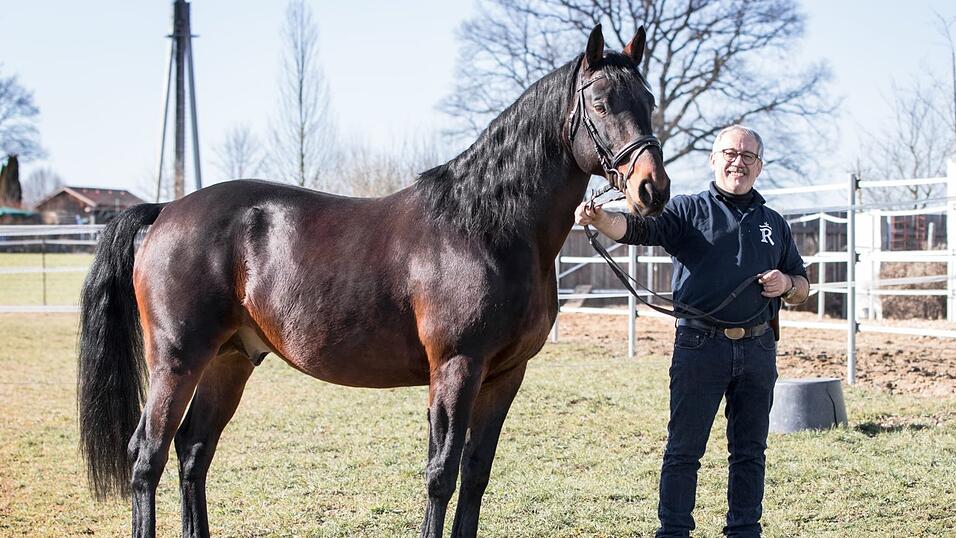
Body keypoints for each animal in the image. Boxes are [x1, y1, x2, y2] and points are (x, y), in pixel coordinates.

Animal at [77, 24, 670, 538]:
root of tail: (166, 211)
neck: (485, 226)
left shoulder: (505, 375)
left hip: (230, 358)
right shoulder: (456, 368)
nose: (652, 189)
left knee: (193, 453)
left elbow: (476, 475)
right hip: (177, 359)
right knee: (147, 455)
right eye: (600, 103)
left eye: (649, 100)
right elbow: (441, 475)